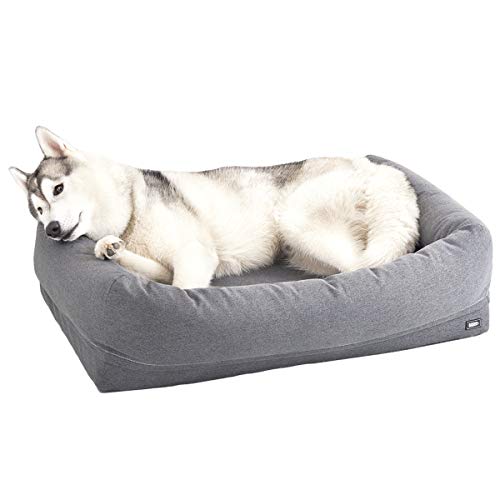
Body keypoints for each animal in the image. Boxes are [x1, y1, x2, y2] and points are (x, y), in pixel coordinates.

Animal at [10, 127, 419, 288]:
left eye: (58, 189)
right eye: (38, 211)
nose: (52, 230)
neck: (130, 209)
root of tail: (375, 166)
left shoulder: (195, 254)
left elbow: (181, 290)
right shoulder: (160, 265)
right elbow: (143, 267)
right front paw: (107, 248)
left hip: (296, 218)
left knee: (363, 266)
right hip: (301, 250)